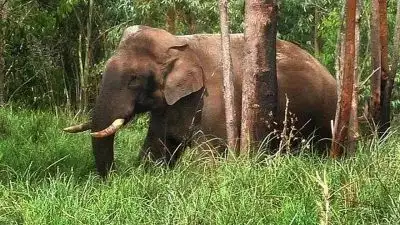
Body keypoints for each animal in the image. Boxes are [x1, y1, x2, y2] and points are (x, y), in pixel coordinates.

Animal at [63, 25, 338, 178]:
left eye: (134, 79)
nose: (116, 177)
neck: (180, 43)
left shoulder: (215, 101)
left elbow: (209, 157)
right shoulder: (168, 107)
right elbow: (156, 148)